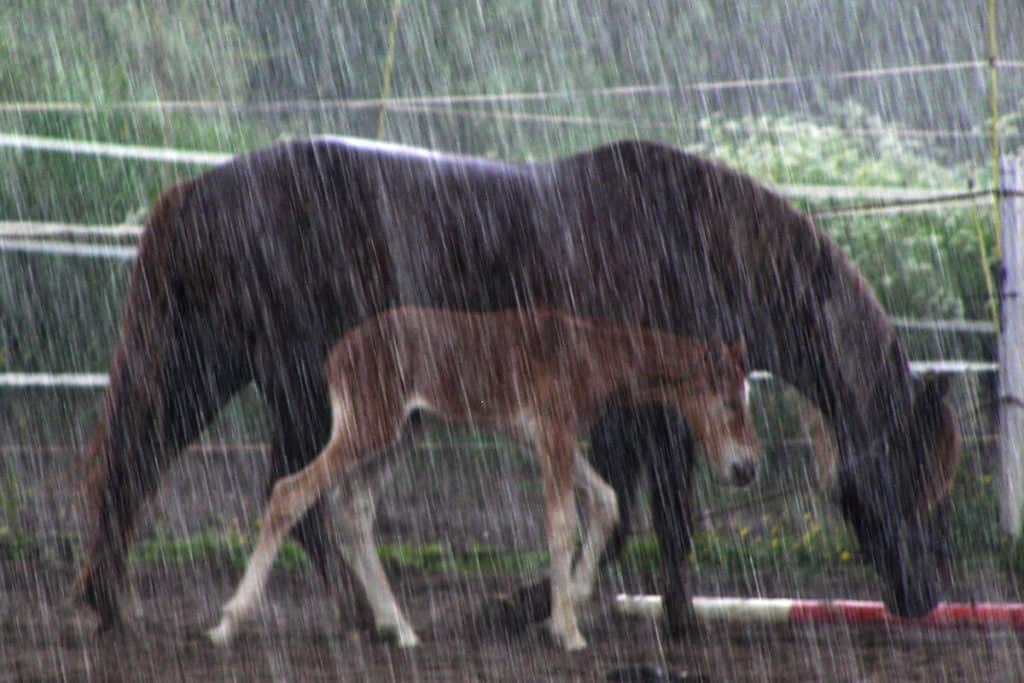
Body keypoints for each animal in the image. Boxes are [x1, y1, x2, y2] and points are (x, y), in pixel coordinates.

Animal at [204, 306, 760, 650]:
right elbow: (561, 524)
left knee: (354, 510)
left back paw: (400, 628)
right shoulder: (553, 432)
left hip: (400, 435)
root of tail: (338, 354)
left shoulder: (546, 439)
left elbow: (605, 502)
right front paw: (568, 630)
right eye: (728, 403)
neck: (590, 352)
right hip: (369, 427)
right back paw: (229, 622)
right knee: (290, 492)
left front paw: (572, 603)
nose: (747, 468)